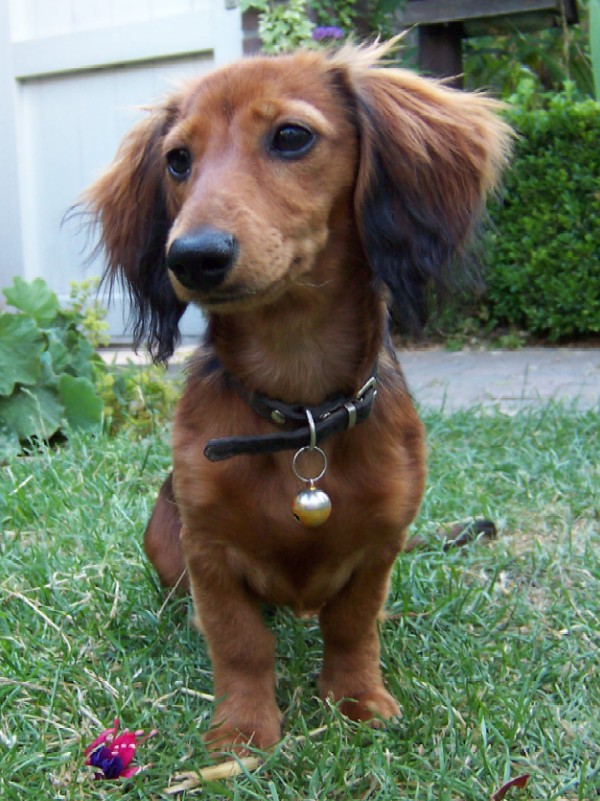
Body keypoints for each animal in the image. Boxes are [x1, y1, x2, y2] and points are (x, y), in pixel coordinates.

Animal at [86, 40, 510, 752]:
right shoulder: (207, 549)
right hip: (162, 536)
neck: (300, 410)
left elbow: (352, 624)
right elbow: (240, 641)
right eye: (178, 160)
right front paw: (242, 732)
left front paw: (357, 699)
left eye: (290, 136)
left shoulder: (381, 543)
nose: (192, 256)